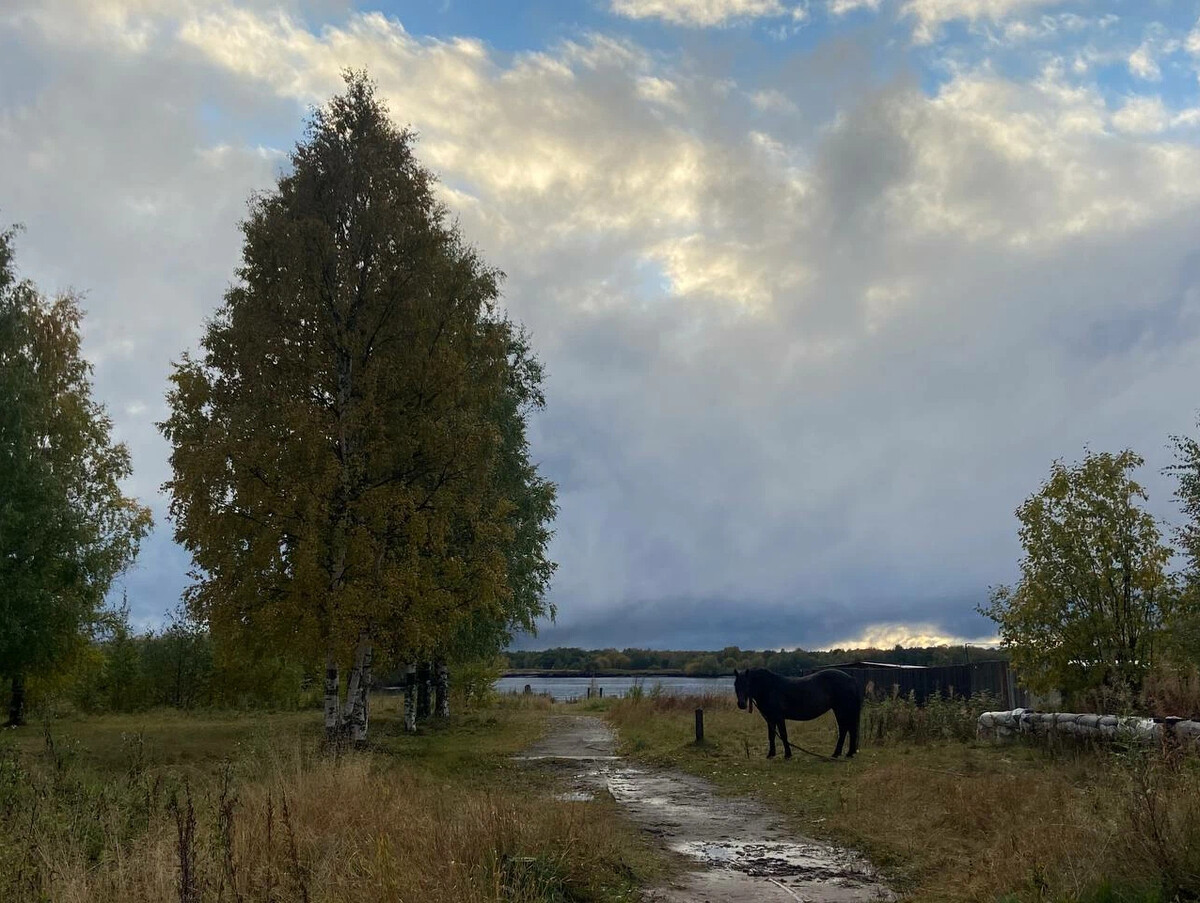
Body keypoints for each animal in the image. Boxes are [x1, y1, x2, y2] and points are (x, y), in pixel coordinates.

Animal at [729, 667, 864, 758]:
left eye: (747, 684)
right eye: (735, 684)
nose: (741, 704)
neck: (769, 687)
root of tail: (851, 679)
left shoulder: (779, 717)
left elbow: (783, 734)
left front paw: (788, 755)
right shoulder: (770, 718)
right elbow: (771, 736)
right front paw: (771, 754)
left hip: (842, 710)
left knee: (846, 729)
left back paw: (840, 753)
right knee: (848, 729)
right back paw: (845, 753)